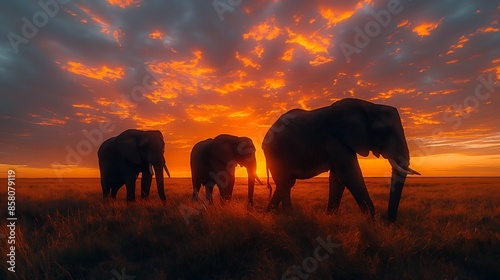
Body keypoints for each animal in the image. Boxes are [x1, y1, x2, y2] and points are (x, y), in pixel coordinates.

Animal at [264, 98, 420, 221]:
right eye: (385, 131)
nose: (389, 221)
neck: (370, 106)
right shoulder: (335, 138)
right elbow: (348, 174)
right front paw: (371, 221)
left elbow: (338, 179)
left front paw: (330, 218)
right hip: (274, 150)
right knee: (285, 182)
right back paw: (290, 216)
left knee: (287, 182)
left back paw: (269, 214)